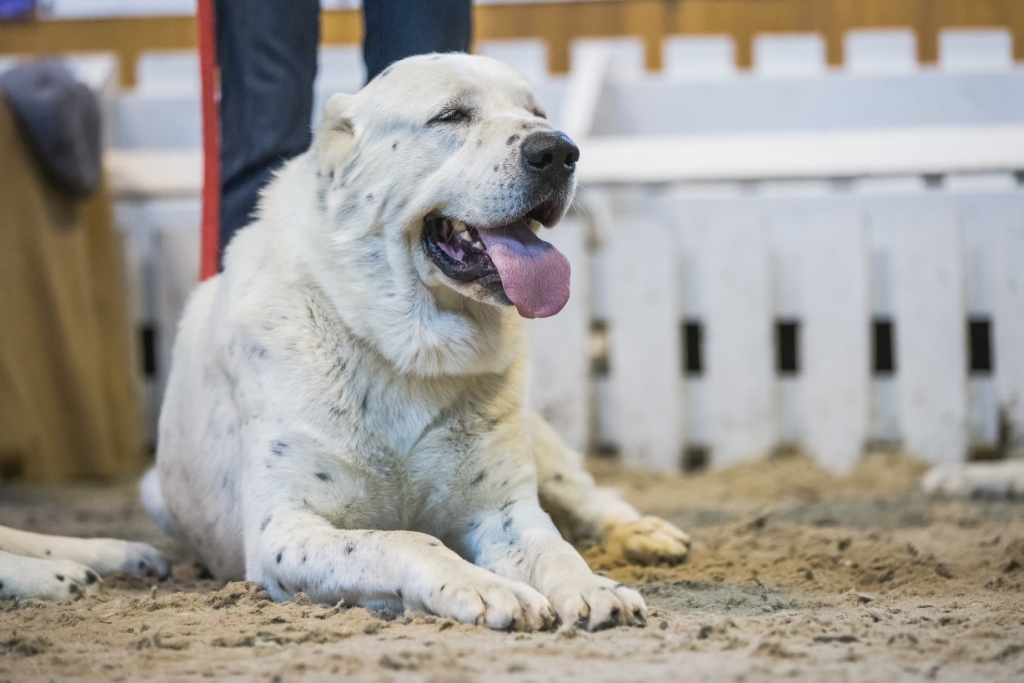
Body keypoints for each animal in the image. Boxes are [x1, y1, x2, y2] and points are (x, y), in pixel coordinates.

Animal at [144, 52, 688, 630]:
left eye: (537, 113)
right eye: (450, 115)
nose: (559, 150)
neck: (408, 351)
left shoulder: (505, 511)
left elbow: (554, 549)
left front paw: (592, 587)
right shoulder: (284, 532)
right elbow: (405, 540)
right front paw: (491, 589)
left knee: (589, 495)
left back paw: (641, 532)